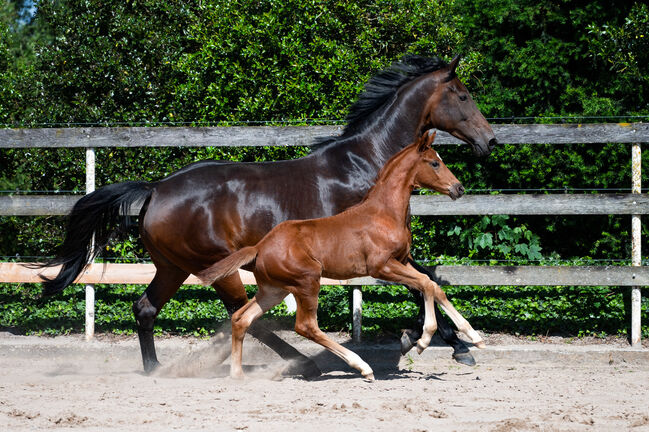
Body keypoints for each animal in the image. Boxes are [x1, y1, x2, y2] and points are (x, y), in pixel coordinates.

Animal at [199, 130, 486, 380]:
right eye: (434, 163)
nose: (459, 188)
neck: (385, 213)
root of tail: (259, 246)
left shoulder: (403, 261)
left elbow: (434, 286)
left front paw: (474, 337)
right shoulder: (382, 267)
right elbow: (426, 284)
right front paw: (424, 340)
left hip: (274, 290)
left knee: (241, 318)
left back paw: (238, 375)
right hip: (307, 281)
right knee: (305, 326)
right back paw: (363, 367)